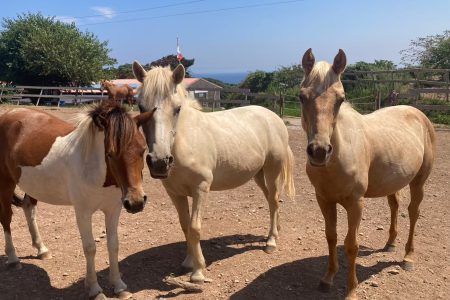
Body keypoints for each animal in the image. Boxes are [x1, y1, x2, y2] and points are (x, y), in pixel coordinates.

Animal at [0, 101, 155, 298]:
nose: (136, 202)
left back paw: (42, 249)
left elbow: (113, 245)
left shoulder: (113, 210)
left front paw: (119, 286)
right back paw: (13, 258)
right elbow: (90, 248)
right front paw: (94, 289)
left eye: (142, 150)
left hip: (31, 185)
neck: (97, 170)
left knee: (29, 208)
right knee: (6, 217)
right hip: (6, 183)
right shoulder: (83, 212)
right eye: (110, 154)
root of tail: (9, 113)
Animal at [132, 62, 298, 282]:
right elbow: (185, 226)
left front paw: (198, 271)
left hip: (272, 171)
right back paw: (276, 231)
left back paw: (271, 242)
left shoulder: (201, 189)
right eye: (141, 107)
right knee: (273, 200)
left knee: (273, 200)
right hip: (258, 174)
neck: (185, 141)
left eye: (177, 109)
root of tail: (274, 117)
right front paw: (188, 262)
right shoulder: (175, 193)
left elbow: (195, 228)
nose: (159, 162)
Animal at [298, 48, 436, 298]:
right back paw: (390, 243)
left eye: (340, 99)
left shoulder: (355, 203)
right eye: (302, 96)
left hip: (419, 181)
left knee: (413, 212)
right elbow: (331, 237)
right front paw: (327, 278)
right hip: (393, 181)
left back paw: (408, 257)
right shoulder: (324, 200)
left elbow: (351, 245)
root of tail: (418, 113)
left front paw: (351, 290)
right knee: (394, 205)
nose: (319, 151)